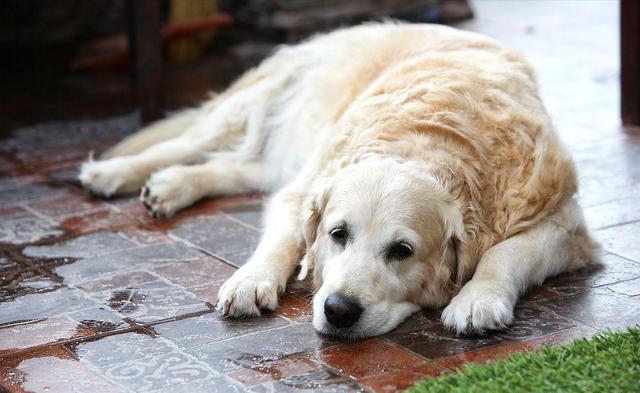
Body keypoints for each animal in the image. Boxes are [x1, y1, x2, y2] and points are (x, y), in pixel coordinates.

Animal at [80, 23, 600, 336]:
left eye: (402, 251)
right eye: (337, 234)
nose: (339, 311)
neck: (429, 140)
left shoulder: (565, 226)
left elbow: (503, 253)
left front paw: (478, 299)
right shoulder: (305, 190)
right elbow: (283, 239)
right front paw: (251, 280)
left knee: (233, 167)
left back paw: (169, 187)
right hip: (253, 106)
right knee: (186, 141)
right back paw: (114, 172)